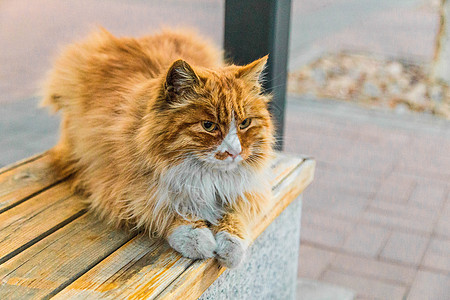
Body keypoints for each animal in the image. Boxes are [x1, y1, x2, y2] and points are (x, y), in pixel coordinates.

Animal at [42, 28, 274, 268]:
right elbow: (170, 211)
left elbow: (237, 216)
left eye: (244, 123)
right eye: (208, 126)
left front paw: (231, 248)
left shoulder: (248, 190)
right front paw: (197, 239)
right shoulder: (123, 190)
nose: (234, 152)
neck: (206, 177)